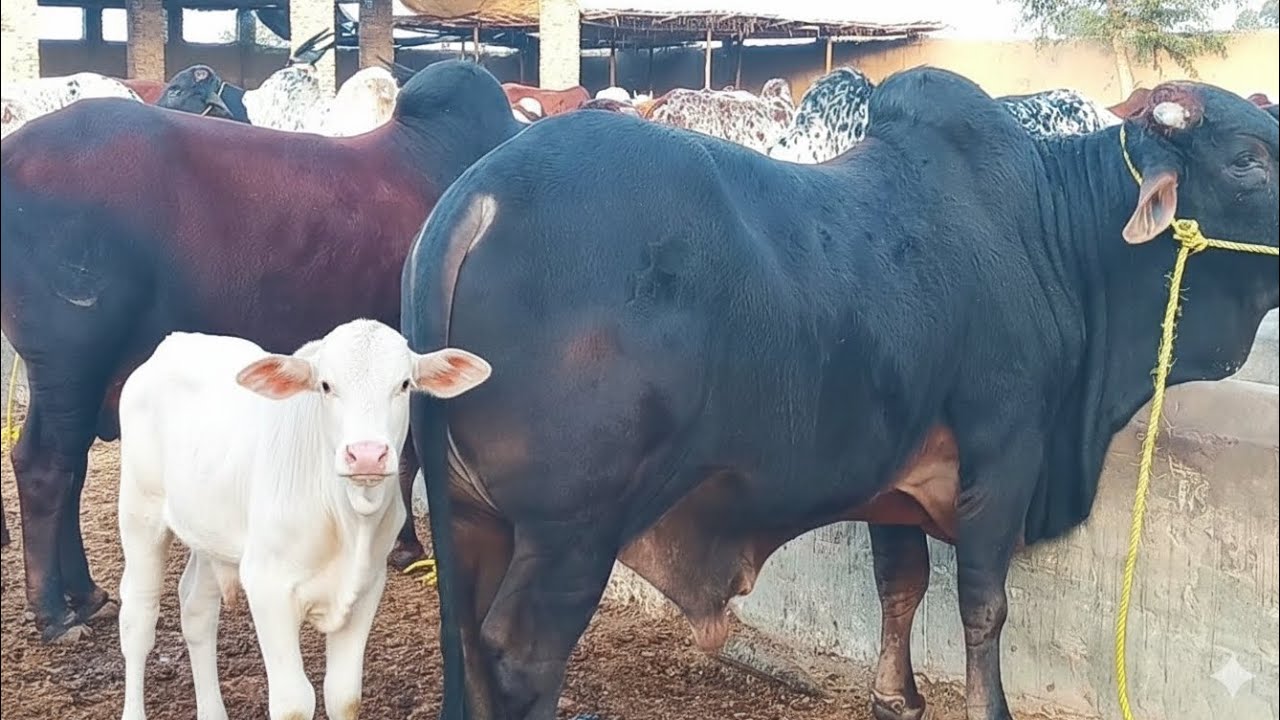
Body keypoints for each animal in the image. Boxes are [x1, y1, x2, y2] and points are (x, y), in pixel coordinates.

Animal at [0, 58, 522, 643]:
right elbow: (409, 456)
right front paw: (406, 546)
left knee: (67, 464)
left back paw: (86, 594)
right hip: (71, 356)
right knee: (46, 465)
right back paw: (54, 612)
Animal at [116, 319, 491, 720]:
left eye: (404, 384)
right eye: (325, 386)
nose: (367, 454)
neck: (348, 522)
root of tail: (175, 342)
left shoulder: (367, 586)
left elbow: (344, 695)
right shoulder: (267, 586)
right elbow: (293, 703)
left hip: (208, 533)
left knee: (196, 610)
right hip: (140, 511)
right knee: (138, 618)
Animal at [401, 70, 1278, 720]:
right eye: (1248, 159)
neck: (1047, 229)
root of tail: (476, 195)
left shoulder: (895, 471)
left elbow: (902, 583)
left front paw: (898, 696)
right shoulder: (1006, 446)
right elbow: (983, 603)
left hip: (473, 518)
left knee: (469, 646)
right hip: (573, 531)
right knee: (521, 660)